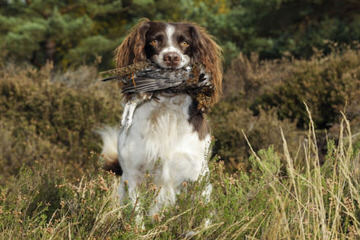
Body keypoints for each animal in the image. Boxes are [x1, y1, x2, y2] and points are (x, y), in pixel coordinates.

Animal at [99, 19, 222, 216]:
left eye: (185, 42)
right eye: (155, 41)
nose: (172, 57)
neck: (166, 110)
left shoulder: (197, 175)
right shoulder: (134, 175)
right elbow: (137, 215)